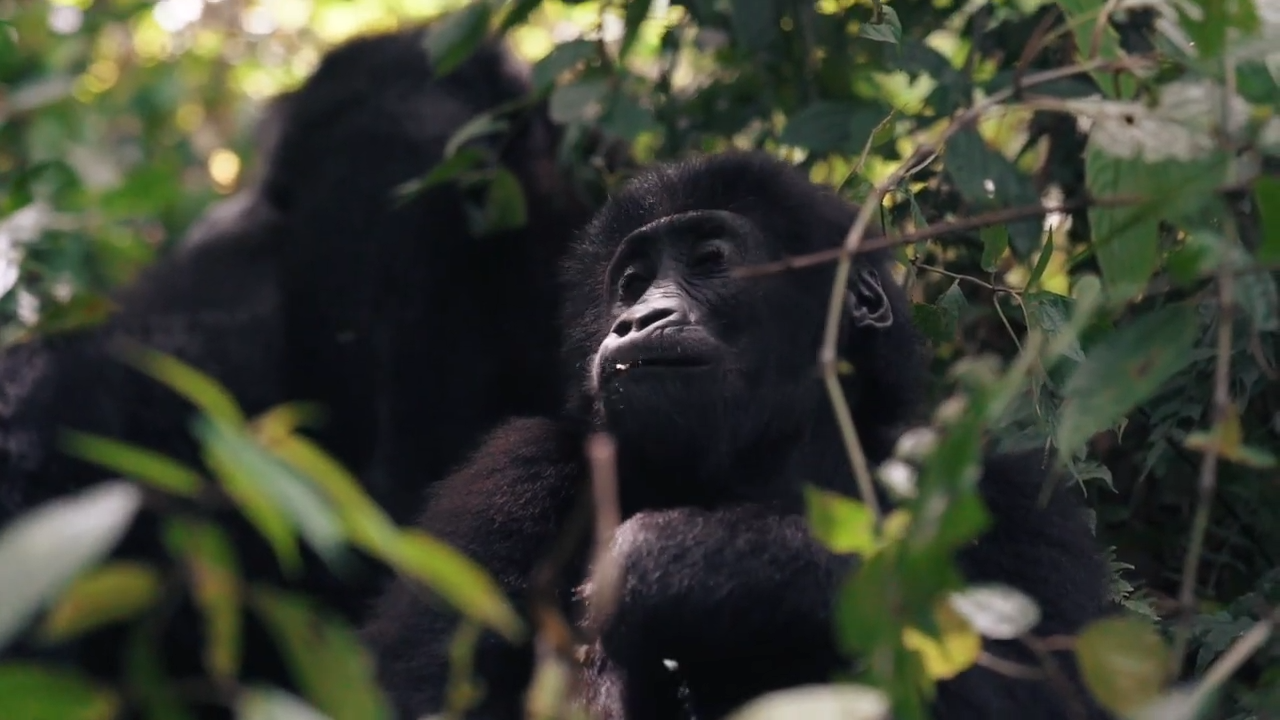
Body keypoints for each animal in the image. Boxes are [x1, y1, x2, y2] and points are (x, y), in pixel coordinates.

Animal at [366, 151, 1116, 717]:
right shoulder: (517, 472)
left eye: (710, 259)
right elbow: (412, 690)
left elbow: (1053, 691)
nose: (636, 320)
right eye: (631, 283)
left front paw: (690, 562)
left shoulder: (1003, 478)